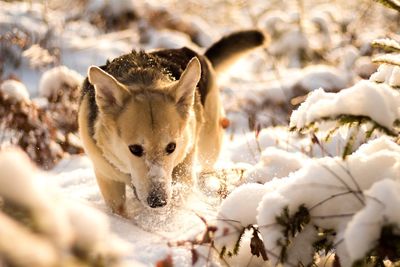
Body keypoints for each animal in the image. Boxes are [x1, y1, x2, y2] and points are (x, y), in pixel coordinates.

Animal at [78, 29, 268, 216]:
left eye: (171, 147)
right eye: (135, 149)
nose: (158, 201)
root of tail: (199, 54)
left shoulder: (184, 167)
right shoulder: (107, 178)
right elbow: (119, 210)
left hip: (210, 142)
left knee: (207, 166)